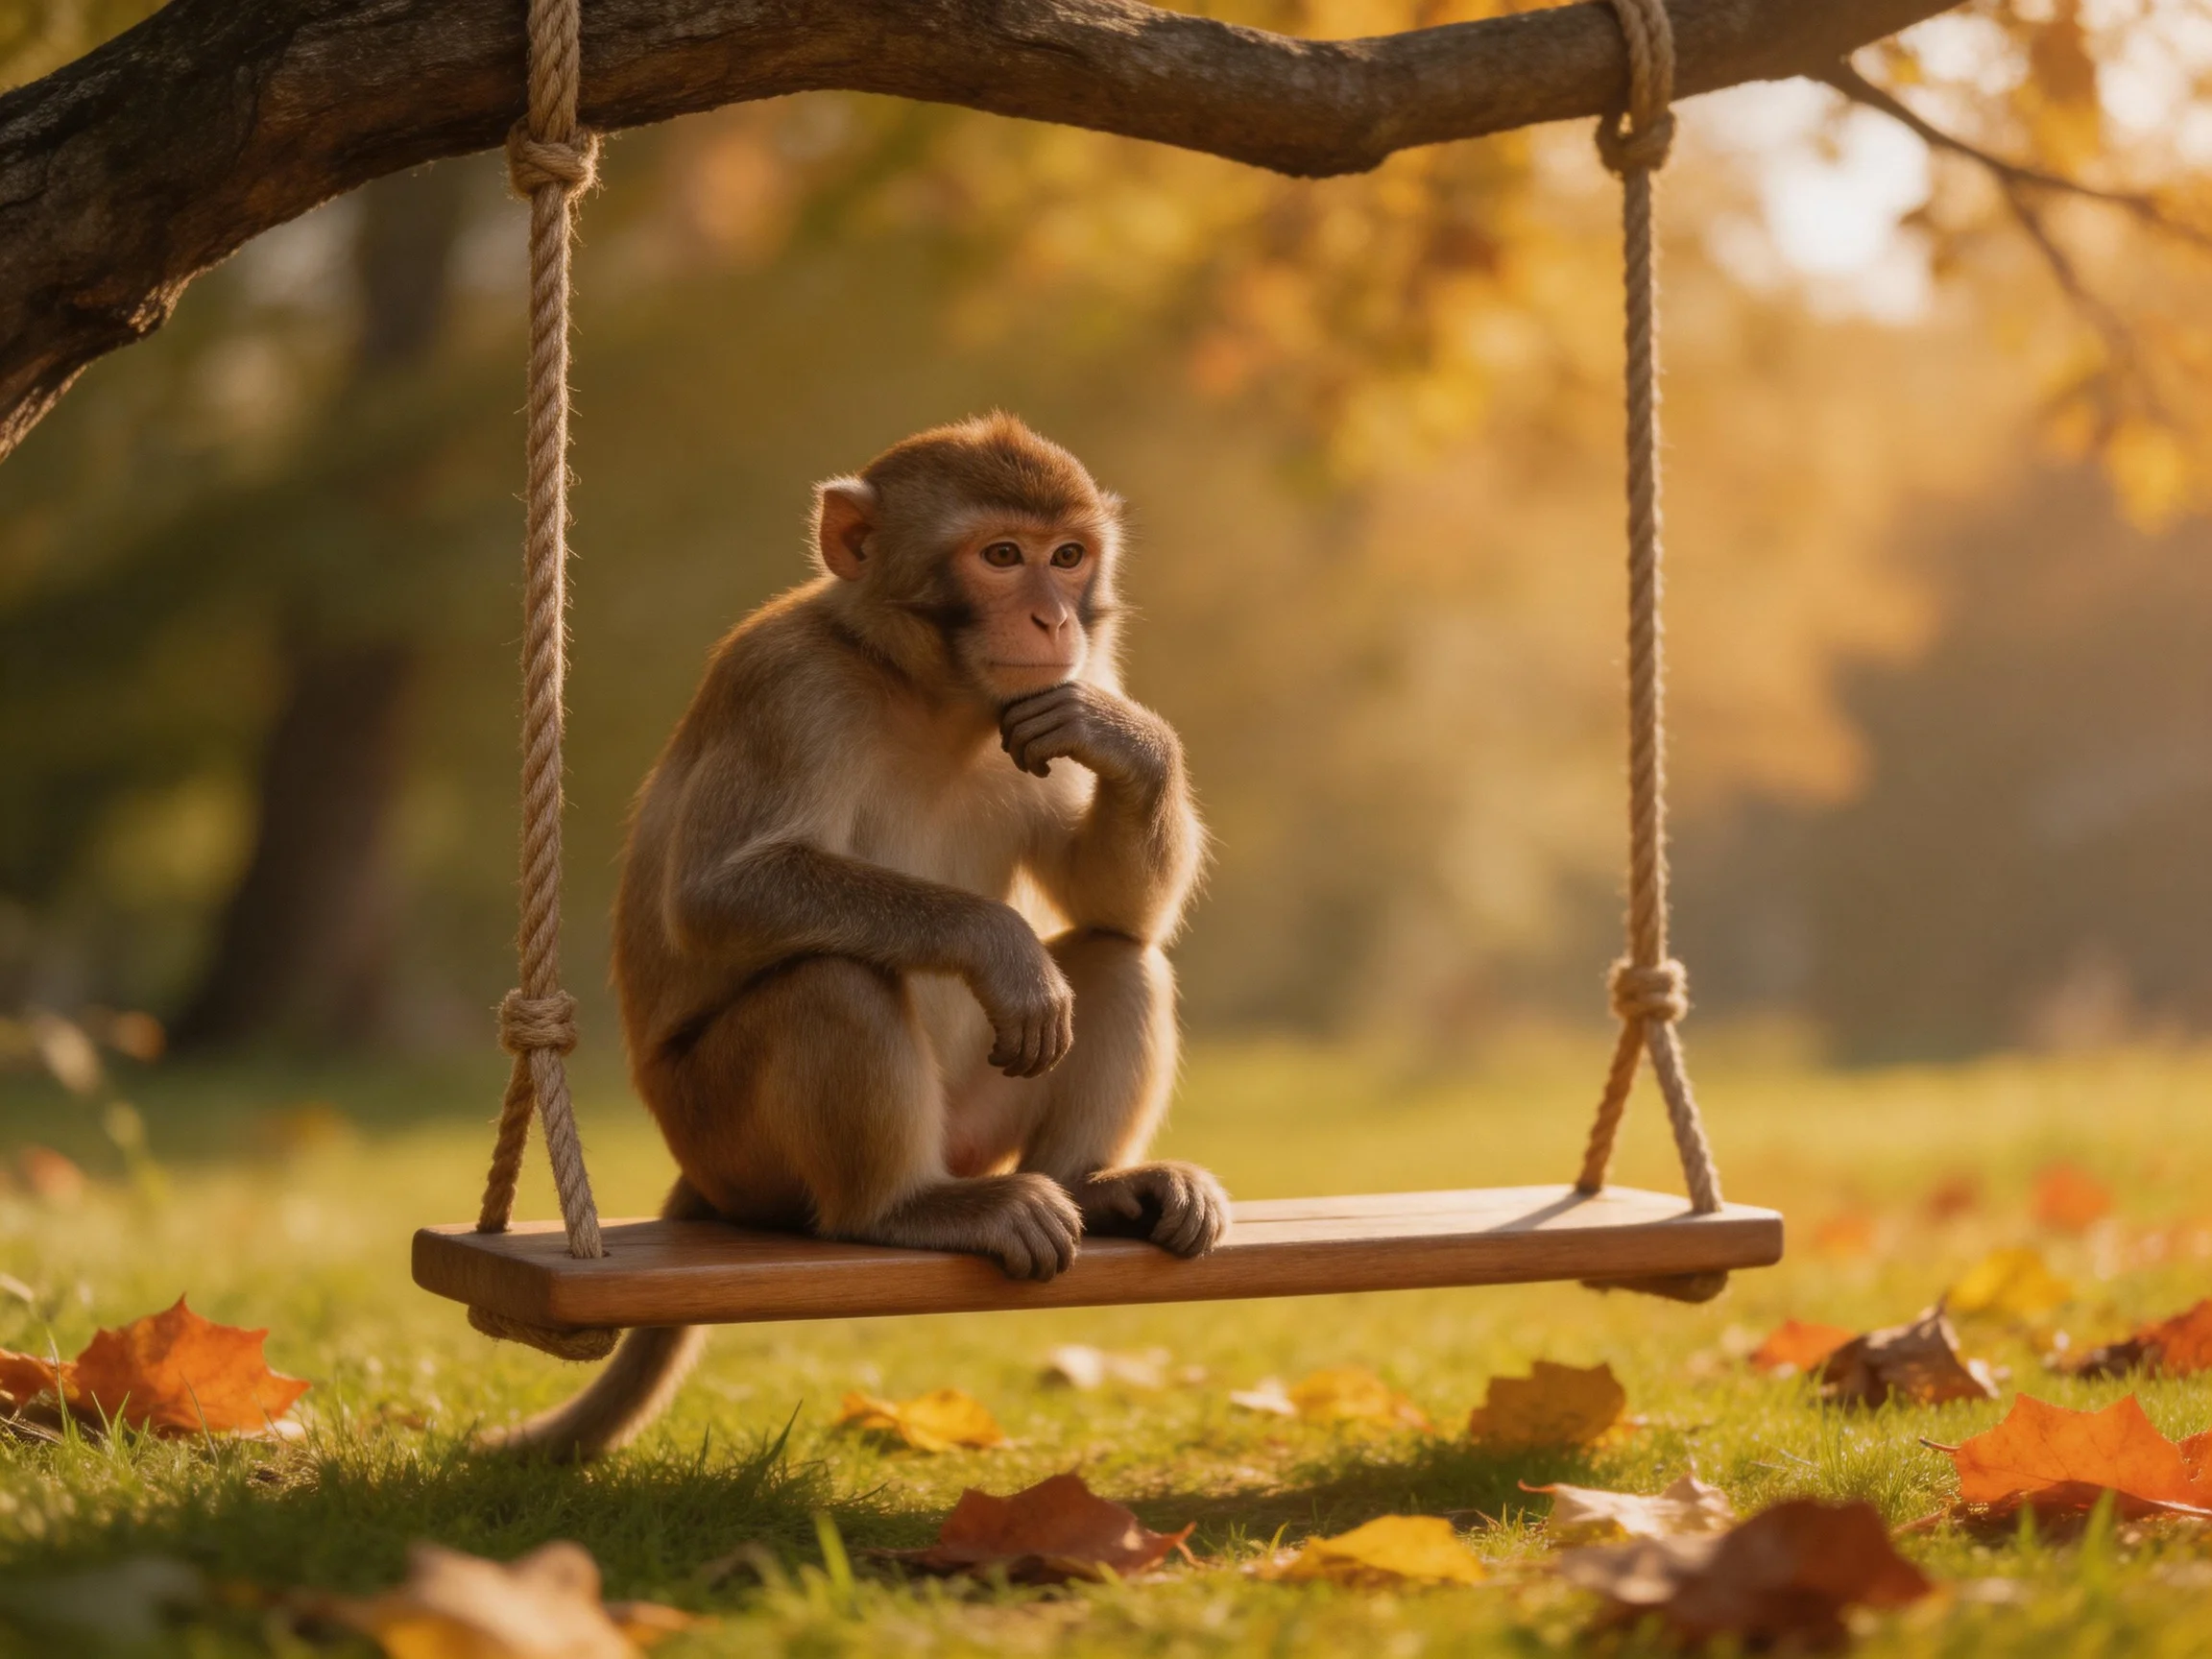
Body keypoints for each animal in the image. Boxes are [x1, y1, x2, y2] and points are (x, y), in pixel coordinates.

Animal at [491, 413, 1225, 1461]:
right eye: (1002, 557)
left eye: (1067, 556)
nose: (1055, 621)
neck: (923, 689)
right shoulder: (788, 688)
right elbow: (716, 894)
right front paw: (999, 944)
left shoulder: (1054, 691)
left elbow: (1114, 902)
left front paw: (1127, 738)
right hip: (733, 1146)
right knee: (831, 980)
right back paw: (898, 1210)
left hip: (973, 1122)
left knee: (1117, 957)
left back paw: (1092, 1185)